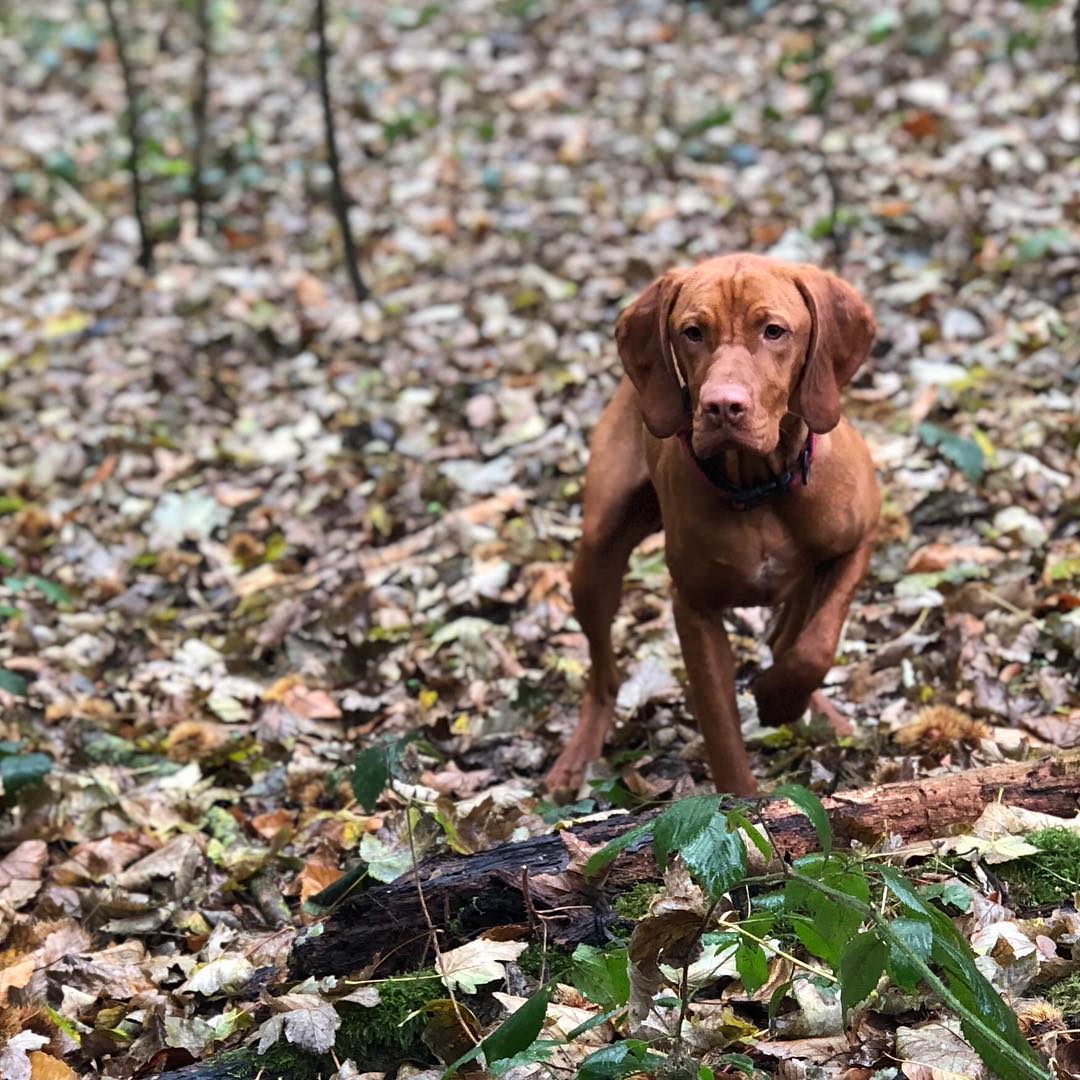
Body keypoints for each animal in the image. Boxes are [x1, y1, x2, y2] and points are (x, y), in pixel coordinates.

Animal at [548, 250, 876, 794]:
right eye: (692, 332)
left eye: (774, 331)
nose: (722, 406)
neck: (758, 486)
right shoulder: (695, 609)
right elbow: (721, 728)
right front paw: (744, 807)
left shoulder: (859, 542)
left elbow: (815, 647)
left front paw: (779, 700)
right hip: (595, 555)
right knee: (602, 673)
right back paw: (577, 757)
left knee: (788, 637)